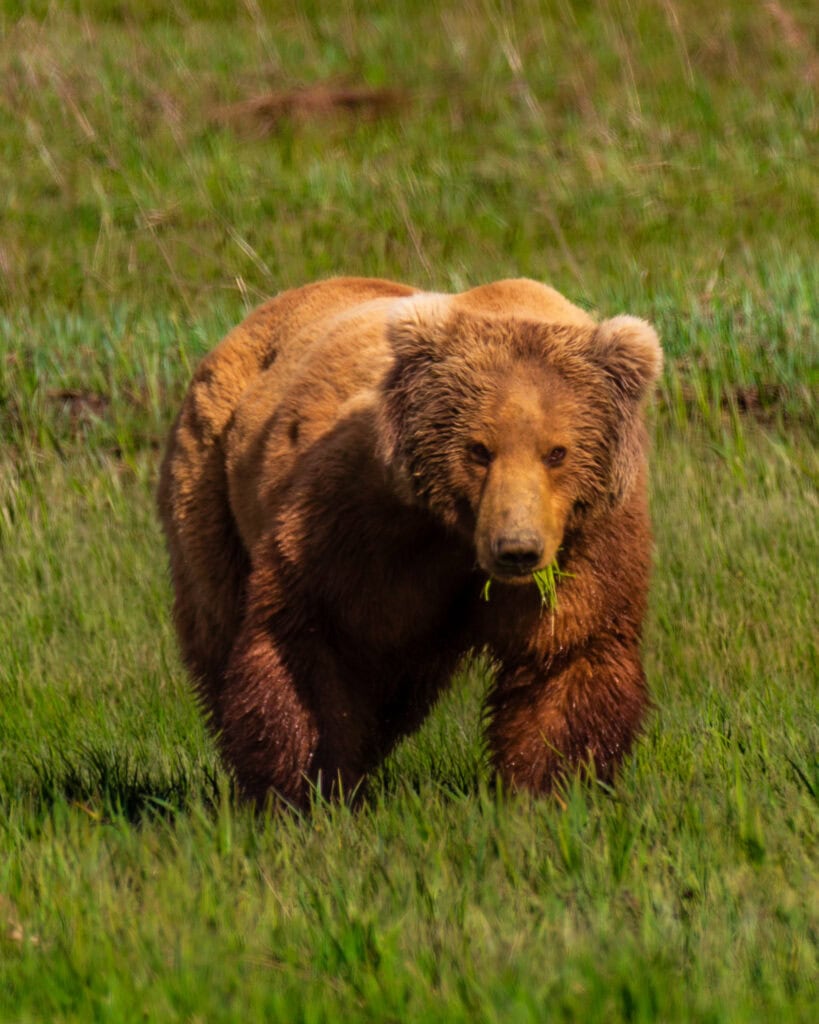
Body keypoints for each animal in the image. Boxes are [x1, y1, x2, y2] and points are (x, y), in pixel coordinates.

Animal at [157, 276, 662, 809]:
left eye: (557, 452)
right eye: (478, 449)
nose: (517, 548)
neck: (460, 536)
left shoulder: (587, 541)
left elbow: (568, 655)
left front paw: (551, 785)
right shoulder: (362, 519)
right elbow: (312, 635)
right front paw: (302, 784)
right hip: (211, 478)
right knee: (217, 617)